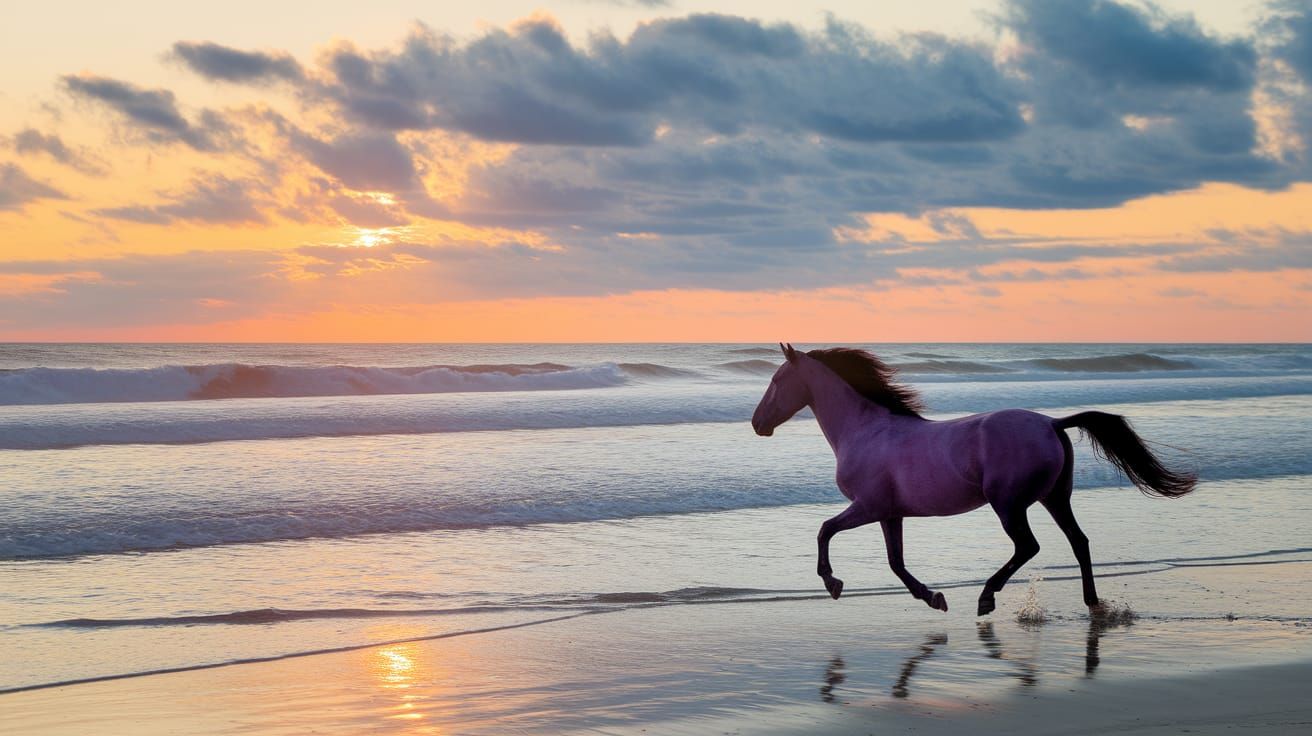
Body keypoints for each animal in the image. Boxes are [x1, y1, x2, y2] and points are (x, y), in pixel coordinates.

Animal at [751, 344, 1196, 616]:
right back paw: (1092, 603)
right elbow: (896, 562)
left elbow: (825, 530)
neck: (866, 430)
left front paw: (833, 583)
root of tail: (1051, 423)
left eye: (776, 381)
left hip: (1009, 504)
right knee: (1078, 542)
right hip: (1055, 498)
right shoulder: (890, 513)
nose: (757, 424)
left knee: (1028, 546)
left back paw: (986, 598)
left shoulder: (868, 506)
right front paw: (933, 598)